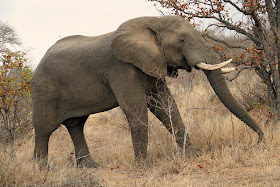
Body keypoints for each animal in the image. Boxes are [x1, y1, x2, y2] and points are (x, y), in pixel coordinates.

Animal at [31, 15, 264, 168]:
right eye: (182, 40)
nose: (259, 140)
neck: (150, 23)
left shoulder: (153, 62)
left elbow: (166, 105)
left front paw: (193, 155)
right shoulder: (121, 68)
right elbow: (136, 110)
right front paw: (142, 166)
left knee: (76, 125)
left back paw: (91, 167)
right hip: (44, 89)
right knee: (44, 129)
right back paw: (41, 170)